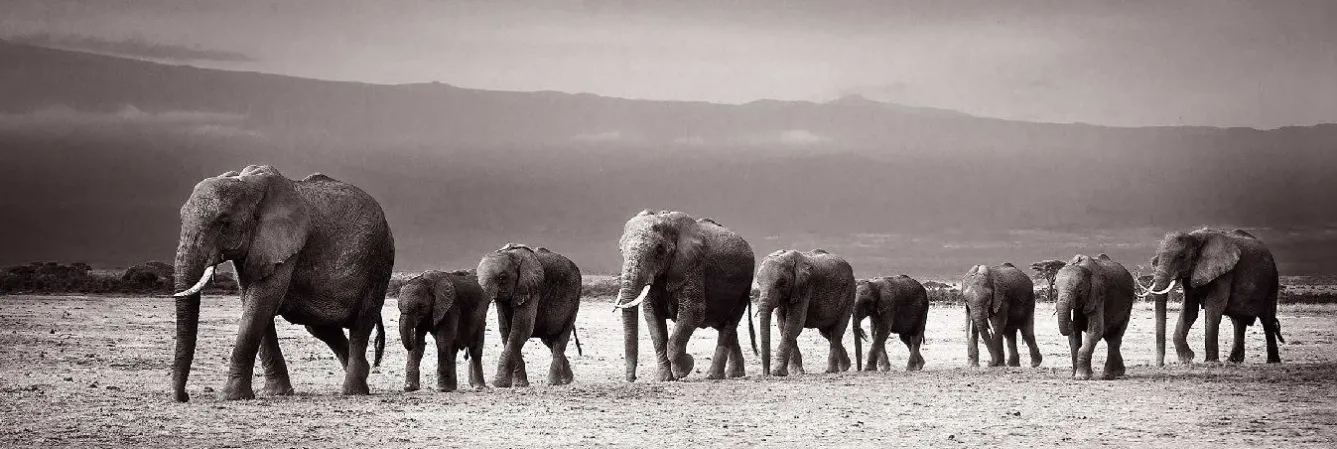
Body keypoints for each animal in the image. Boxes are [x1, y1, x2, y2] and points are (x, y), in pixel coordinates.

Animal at [170, 165, 394, 402]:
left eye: (224, 223)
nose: (184, 396)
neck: (250, 186)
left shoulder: (284, 245)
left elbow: (261, 302)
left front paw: (232, 397)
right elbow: (253, 303)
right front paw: (277, 393)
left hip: (379, 263)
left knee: (361, 324)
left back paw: (352, 391)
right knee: (321, 328)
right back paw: (363, 378)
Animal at [477, 244, 583, 387]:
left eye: (502, 278)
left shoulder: (532, 288)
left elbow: (522, 329)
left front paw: (499, 384)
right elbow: (506, 331)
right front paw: (520, 384)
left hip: (574, 299)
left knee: (560, 340)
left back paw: (553, 383)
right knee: (549, 340)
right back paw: (567, 380)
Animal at [610, 210, 756, 382]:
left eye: (659, 250)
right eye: (621, 250)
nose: (632, 379)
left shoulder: (693, 267)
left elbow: (693, 312)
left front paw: (685, 368)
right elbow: (653, 319)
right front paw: (664, 379)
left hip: (744, 286)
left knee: (729, 325)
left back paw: (713, 376)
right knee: (725, 325)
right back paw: (735, 374)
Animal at [1143, 228, 1282, 365]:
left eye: (1181, 256)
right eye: (1155, 260)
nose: (1160, 365)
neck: (1194, 237)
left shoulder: (1225, 273)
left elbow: (1213, 307)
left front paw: (1210, 362)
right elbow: (1189, 310)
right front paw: (1186, 359)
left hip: (1272, 281)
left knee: (1267, 320)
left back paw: (1272, 362)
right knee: (1239, 322)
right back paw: (1233, 361)